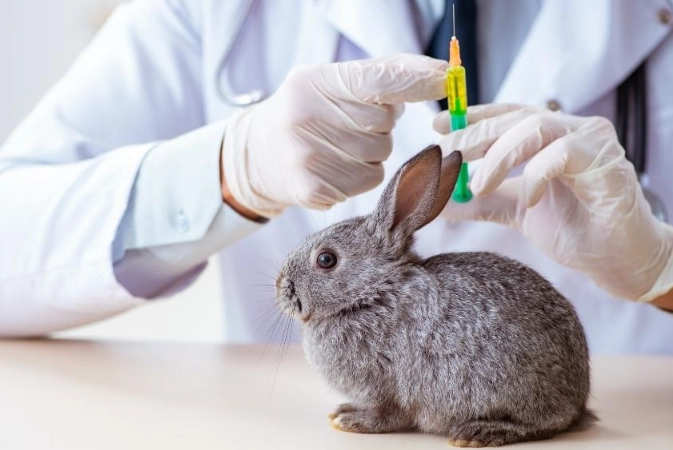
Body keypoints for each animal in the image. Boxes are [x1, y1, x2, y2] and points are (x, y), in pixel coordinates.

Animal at [275, 144, 596, 447]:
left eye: (326, 259)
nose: (281, 287)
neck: (373, 290)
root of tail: (577, 401)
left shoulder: (383, 384)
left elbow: (385, 414)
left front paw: (352, 421)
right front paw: (344, 410)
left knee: (543, 424)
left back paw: (479, 432)